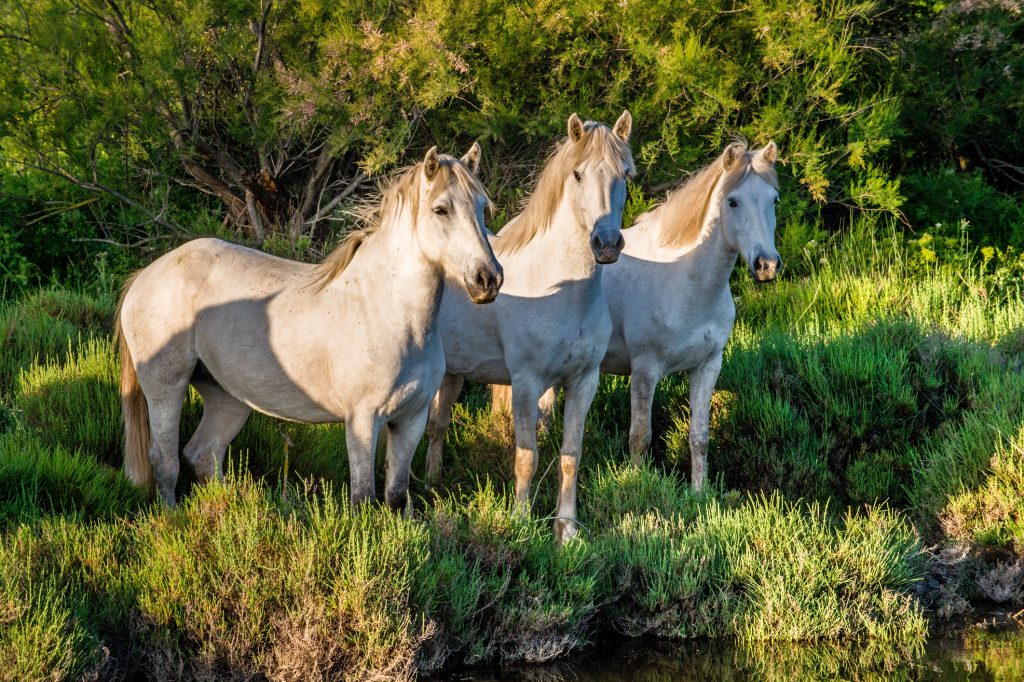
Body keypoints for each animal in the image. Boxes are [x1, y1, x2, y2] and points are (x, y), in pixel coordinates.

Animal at [117, 146, 503, 507]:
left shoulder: (412, 419)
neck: (390, 313)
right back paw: (173, 517)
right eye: (441, 209)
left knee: (203, 453)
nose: (488, 279)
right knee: (165, 461)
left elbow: (396, 495)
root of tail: (146, 275)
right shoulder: (363, 421)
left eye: (482, 207)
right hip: (166, 386)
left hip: (226, 395)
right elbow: (363, 496)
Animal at [421, 110, 630, 540]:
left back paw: (433, 482)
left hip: (453, 373)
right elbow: (527, 457)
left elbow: (570, 455)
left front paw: (567, 530)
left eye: (626, 174)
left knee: (438, 424)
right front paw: (520, 522)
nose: (606, 244)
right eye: (578, 174)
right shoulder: (526, 382)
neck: (561, 289)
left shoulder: (584, 382)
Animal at [493, 139, 774, 489]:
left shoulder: (707, 366)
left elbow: (699, 437)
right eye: (733, 202)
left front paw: (699, 492)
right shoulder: (645, 369)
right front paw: (637, 485)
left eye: (774, 199)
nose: (767, 265)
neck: (686, 280)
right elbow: (640, 436)